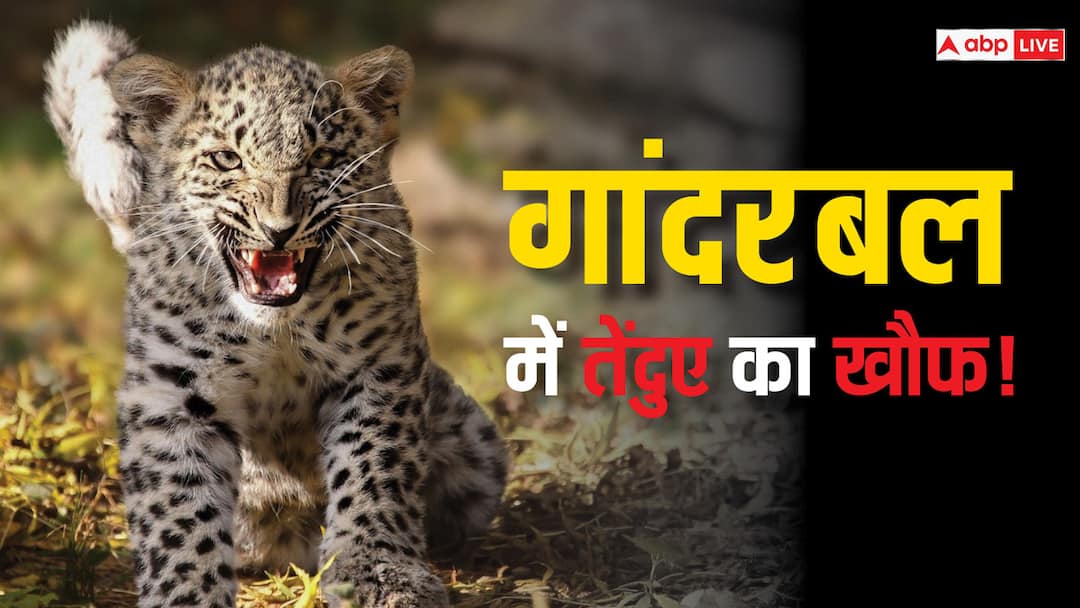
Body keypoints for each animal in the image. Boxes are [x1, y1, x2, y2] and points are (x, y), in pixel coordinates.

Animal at [44, 20, 508, 608]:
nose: (278, 229)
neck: (276, 332)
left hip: (478, 450)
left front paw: (379, 571)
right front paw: (186, 592)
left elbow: (374, 467)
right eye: (227, 160)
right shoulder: (169, 391)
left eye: (321, 158)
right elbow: (179, 507)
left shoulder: (380, 367)